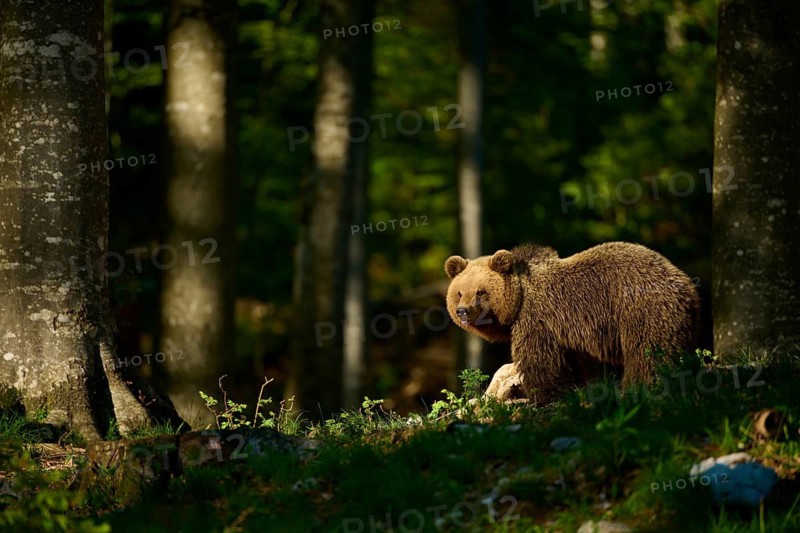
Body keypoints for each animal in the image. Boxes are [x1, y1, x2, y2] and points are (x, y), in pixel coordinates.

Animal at [444, 242, 700, 405]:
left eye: (481, 291)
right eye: (459, 292)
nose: (463, 311)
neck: (519, 301)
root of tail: (687, 284)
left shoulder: (537, 320)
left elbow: (539, 360)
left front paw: (536, 394)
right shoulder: (565, 331)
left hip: (641, 309)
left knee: (648, 352)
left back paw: (640, 384)